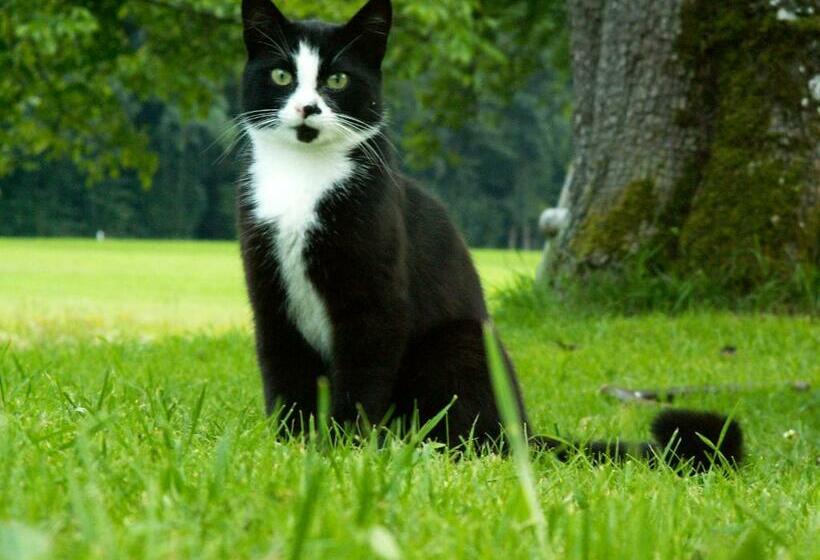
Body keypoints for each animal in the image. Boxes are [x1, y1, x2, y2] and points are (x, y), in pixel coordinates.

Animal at [235, 0, 744, 472]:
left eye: (337, 81)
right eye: (281, 75)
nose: (308, 107)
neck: (302, 179)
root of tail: (525, 431)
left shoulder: (376, 300)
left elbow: (362, 378)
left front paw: (340, 448)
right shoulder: (270, 294)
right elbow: (283, 372)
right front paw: (291, 444)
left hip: (460, 341)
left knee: (475, 436)